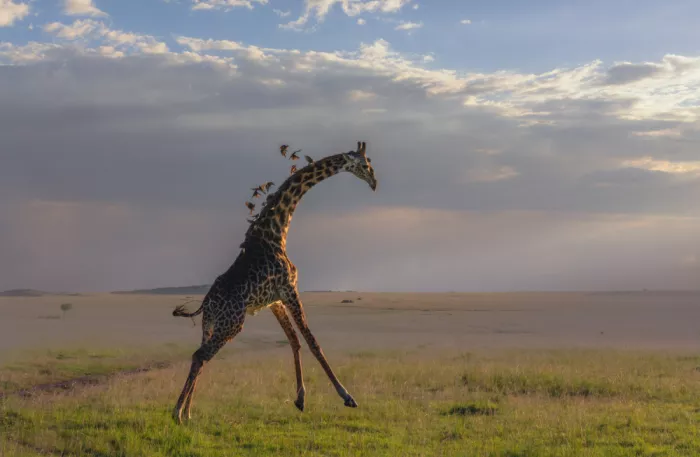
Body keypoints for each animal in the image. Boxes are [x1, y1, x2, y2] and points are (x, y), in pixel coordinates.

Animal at [171, 141, 377, 424]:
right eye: (365, 164)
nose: (374, 182)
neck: (277, 232)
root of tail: (207, 303)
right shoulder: (289, 288)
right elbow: (312, 342)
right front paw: (347, 396)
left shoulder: (275, 300)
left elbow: (294, 341)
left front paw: (301, 399)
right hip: (231, 324)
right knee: (200, 355)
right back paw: (177, 412)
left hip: (210, 325)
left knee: (200, 357)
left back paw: (189, 412)